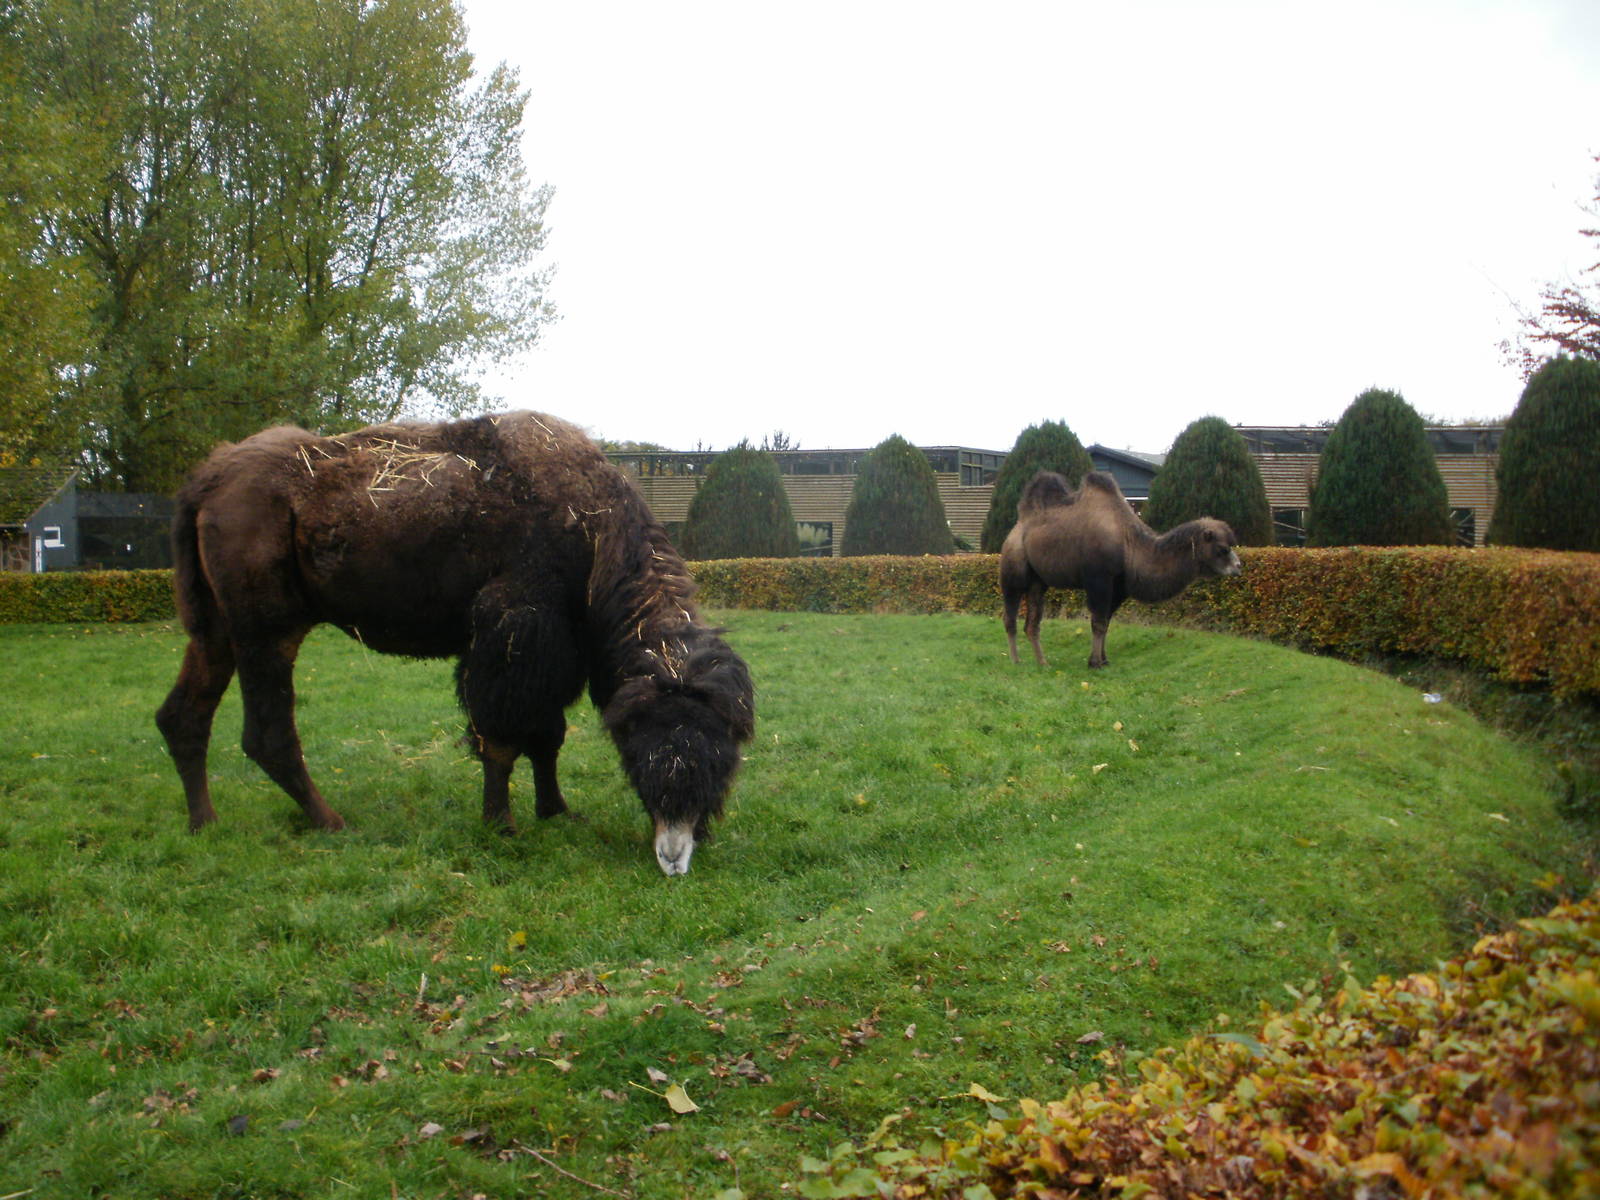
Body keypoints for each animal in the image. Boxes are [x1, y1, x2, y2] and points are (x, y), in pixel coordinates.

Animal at [155, 412, 755, 876]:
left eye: (723, 760)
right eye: (640, 753)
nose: (675, 853)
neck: (593, 533)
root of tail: (204, 482)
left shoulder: (554, 651)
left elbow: (548, 737)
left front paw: (557, 811)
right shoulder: (512, 633)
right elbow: (502, 739)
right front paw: (501, 824)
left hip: (214, 627)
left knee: (183, 716)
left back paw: (204, 824)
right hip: (267, 630)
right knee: (267, 734)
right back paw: (330, 821)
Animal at [1001, 470, 1241, 670]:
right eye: (1222, 548)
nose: (1238, 567)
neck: (1129, 544)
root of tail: (1016, 528)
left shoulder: (1119, 587)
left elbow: (1106, 622)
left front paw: (1104, 660)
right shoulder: (1098, 579)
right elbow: (1098, 622)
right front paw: (1095, 663)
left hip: (1038, 582)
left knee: (1032, 624)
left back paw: (1043, 663)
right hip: (1012, 570)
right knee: (1010, 617)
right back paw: (1016, 660)